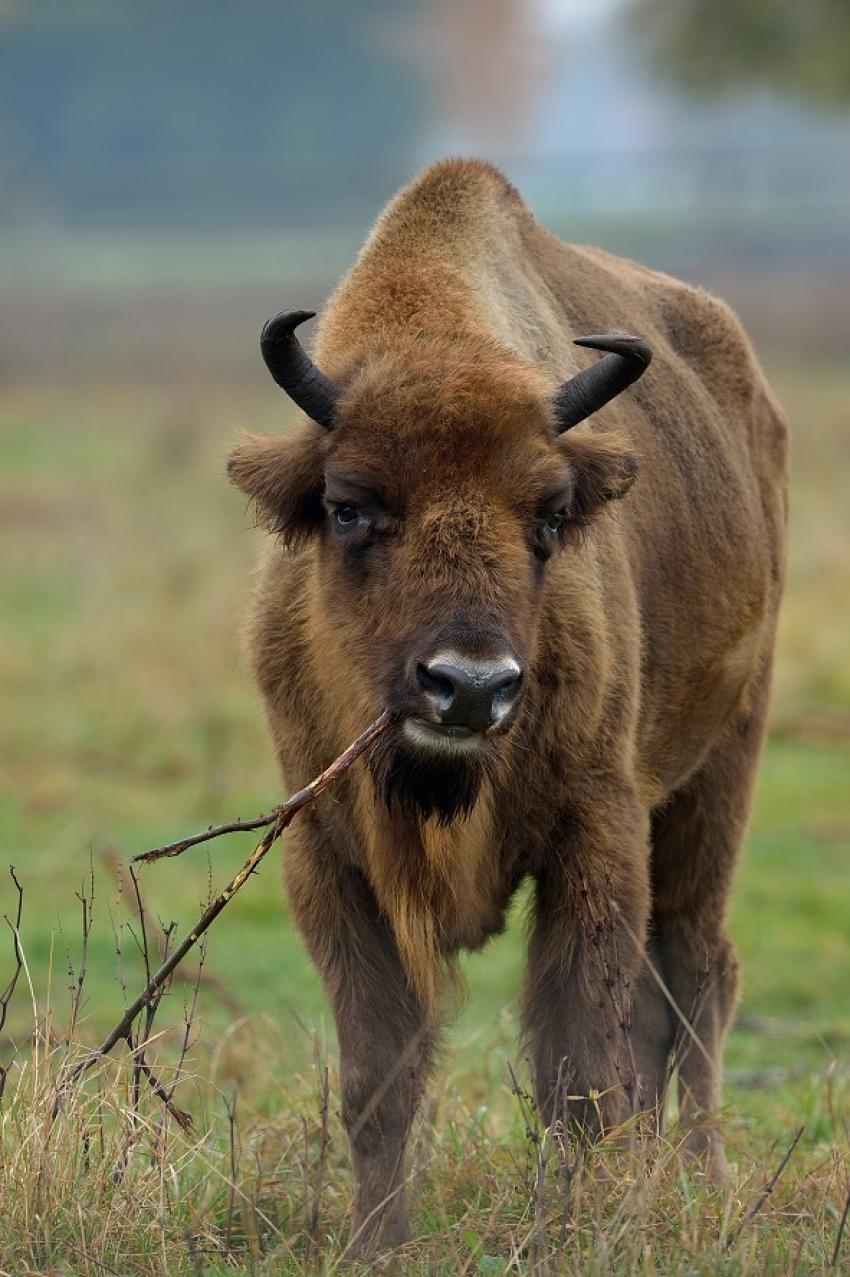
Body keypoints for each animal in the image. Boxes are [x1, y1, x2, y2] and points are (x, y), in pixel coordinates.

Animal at [227, 154, 786, 1251]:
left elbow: (579, 1068)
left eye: (552, 514)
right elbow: (380, 1076)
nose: (470, 685)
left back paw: (699, 1178)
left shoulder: (596, 831)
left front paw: (574, 1228)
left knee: (698, 970)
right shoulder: (328, 855)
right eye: (349, 506)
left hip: (720, 769)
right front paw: (377, 1242)